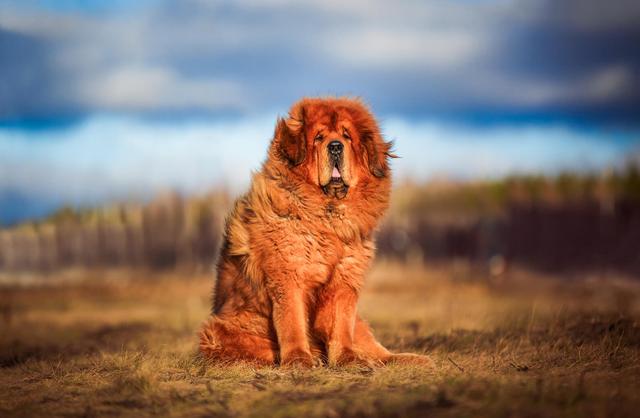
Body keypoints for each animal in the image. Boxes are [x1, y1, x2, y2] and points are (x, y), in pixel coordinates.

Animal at [200, 97, 430, 366]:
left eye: (346, 136)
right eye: (319, 138)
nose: (335, 147)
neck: (328, 217)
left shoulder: (344, 281)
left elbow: (341, 325)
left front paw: (348, 359)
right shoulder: (289, 276)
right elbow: (293, 323)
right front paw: (299, 360)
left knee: (378, 350)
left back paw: (410, 359)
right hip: (222, 329)